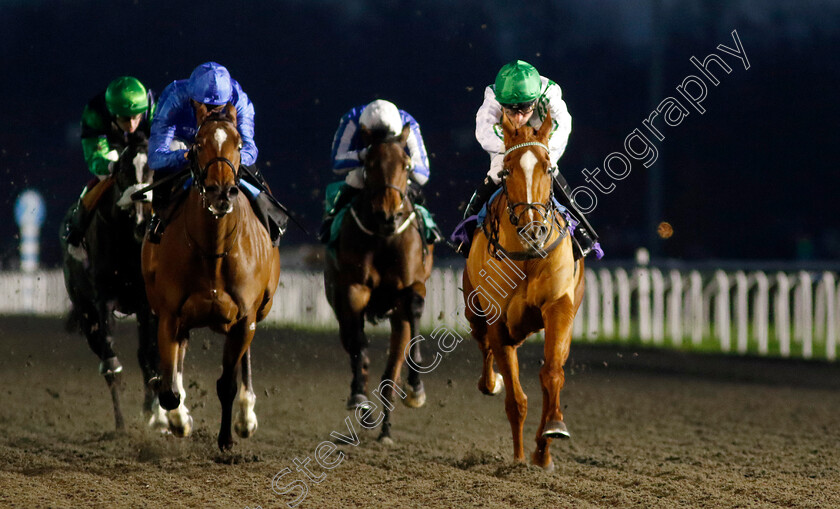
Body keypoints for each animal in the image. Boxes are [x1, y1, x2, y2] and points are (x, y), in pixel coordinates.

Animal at [60, 137, 164, 430]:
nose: (141, 221)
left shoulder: (146, 303)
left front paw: (154, 413)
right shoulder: (103, 300)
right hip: (85, 312)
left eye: (153, 171)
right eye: (124, 171)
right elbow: (111, 362)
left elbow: (149, 355)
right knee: (104, 353)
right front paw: (122, 425)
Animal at [139, 102, 280, 448]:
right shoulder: (169, 314)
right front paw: (179, 420)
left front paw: (227, 437)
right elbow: (169, 389)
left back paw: (246, 415)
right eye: (199, 144)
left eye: (239, 145)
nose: (221, 192)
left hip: (255, 313)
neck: (214, 251)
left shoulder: (244, 318)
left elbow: (227, 382)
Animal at [324, 122, 434, 440]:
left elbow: (415, 307)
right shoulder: (353, 289)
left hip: (396, 317)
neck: (384, 238)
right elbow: (359, 346)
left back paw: (385, 428)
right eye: (370, 163)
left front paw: (416, 387)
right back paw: (364, 406)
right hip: (337, 301)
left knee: (391, 370)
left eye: (407, 164)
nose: (388, 215)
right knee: (352, 343)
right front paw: (359, 395)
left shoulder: (411, 285)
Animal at [460, 111, 584, 468]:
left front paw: (549, 438)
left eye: (548, 167)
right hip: (474, 312)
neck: (527, 257)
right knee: (484, 346)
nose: (534, 230)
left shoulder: (558, 306)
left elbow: (552, 373)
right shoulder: (498, 322)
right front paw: (517, 461)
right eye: (507, 168)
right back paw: (491, 384)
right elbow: (516, 401)